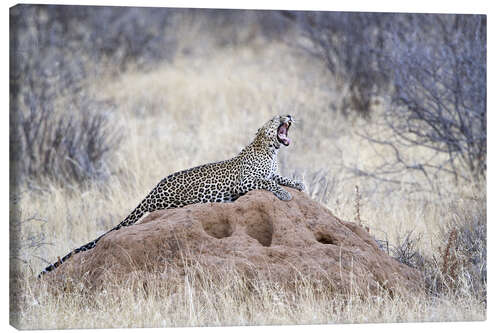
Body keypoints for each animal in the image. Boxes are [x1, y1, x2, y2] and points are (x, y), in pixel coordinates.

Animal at [38, 115, 304, 276]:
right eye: (275, 119)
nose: (288, 115)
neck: (270, 151)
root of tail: (154, 188)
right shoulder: (246, 181)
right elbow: (269, 181)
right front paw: (285, 195)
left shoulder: (272, 172)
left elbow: (280, 177)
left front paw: (298, 184)